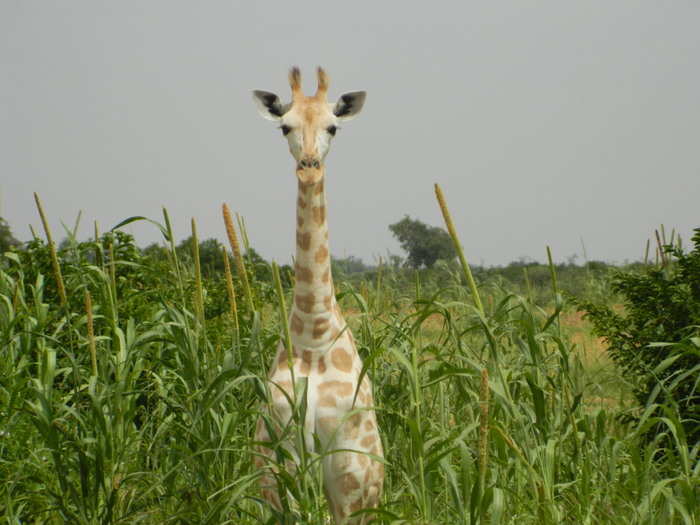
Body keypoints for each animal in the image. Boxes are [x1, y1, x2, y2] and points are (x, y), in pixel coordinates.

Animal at [250, 67, 382, 520]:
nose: (308, 167)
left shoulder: (348, 475)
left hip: (367, 491)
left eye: (333, 127)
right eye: (285, 127)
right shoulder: (283, 461)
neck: (313, 333)